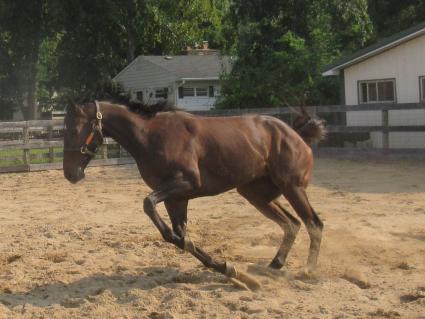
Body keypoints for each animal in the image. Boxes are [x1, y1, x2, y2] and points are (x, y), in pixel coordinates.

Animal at [63, 99, 326, 290]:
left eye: (75, 129)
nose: (70, 174)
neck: (150, 136)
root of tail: (297, 134)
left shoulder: (186, 183)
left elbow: (149, 205)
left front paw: (233, 271)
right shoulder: (176, 199)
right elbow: (177, 236)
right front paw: (233, 271)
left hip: (292, 187)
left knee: (313, 223)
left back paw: (308, 271)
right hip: (256, 193)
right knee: (291, 223)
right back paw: (272, 267)